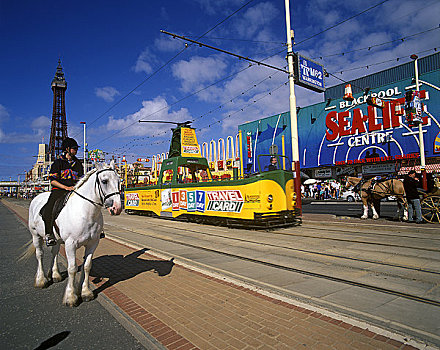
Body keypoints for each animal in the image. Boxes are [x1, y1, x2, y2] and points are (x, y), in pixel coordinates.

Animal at [25, 161, 122, 306]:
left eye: (119, 181)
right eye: (104, 181)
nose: (117, 208)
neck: (86, 212)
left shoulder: (93, 243)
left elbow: (87, 266)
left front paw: (85, 292)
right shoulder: (70, 244)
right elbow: (72, 268)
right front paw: (71, 297)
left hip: (57, 239)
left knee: (54, 252)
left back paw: (55, 274)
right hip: (36, 235)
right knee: (40, 254)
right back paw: (41, 280)